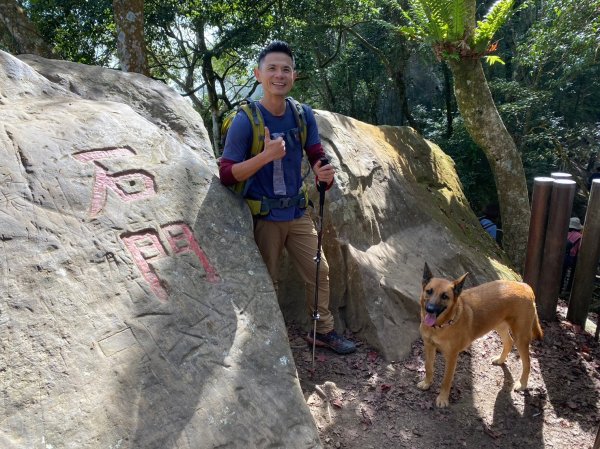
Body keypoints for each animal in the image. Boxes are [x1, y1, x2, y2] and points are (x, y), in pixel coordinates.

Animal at [418, 262, 544, 406]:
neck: (439, 326)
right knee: (508, 342)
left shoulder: (451, 357)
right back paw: (500, 360)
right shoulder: (429, 346)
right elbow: (428, 367)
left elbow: (446, 380)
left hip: (521, 337)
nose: (430, 309)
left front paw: (443, 398)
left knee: (527, 362)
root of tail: (525, 286)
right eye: (429, 291)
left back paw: (522, 383)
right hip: (499, 325)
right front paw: (427, 383)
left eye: (445, 296)